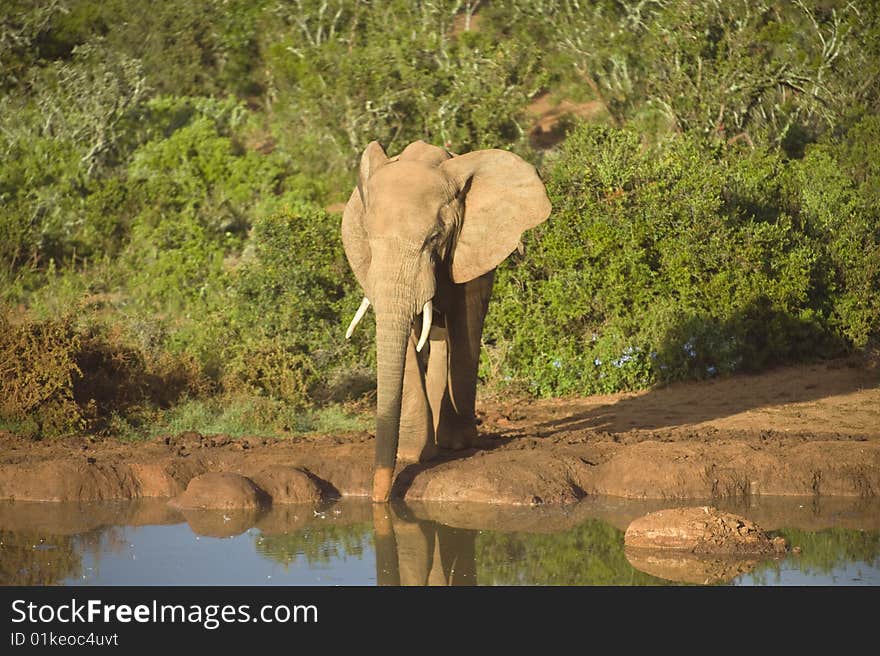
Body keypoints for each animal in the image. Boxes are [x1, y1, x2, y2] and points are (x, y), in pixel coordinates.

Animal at [342, 140, 552, 502]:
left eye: (434, 238)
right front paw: (413, 454)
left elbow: (466, 320)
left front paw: (460, 444)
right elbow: (409, 335)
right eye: (368, 238)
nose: (380, 499)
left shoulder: (473, 244)